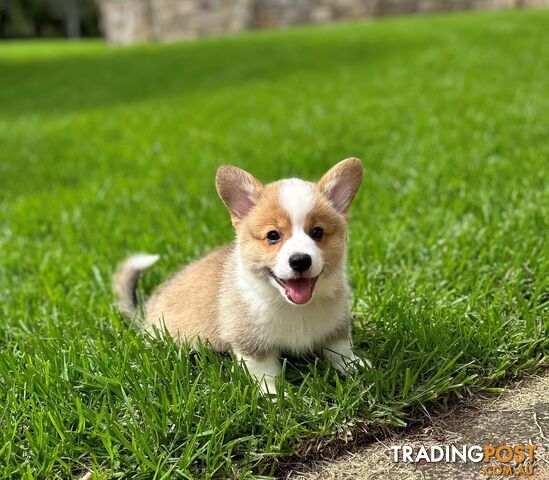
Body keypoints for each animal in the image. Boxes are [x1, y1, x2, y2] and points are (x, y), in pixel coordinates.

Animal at [113, 158, 366, 394]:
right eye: (273, 235)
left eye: (317, 232)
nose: (300, 260)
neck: (293, 307)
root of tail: (145, 312)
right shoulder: (250, 344)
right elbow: (264, 372)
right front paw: (274, 396)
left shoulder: (337, 326)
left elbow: (340, 349)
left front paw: (356, 365)